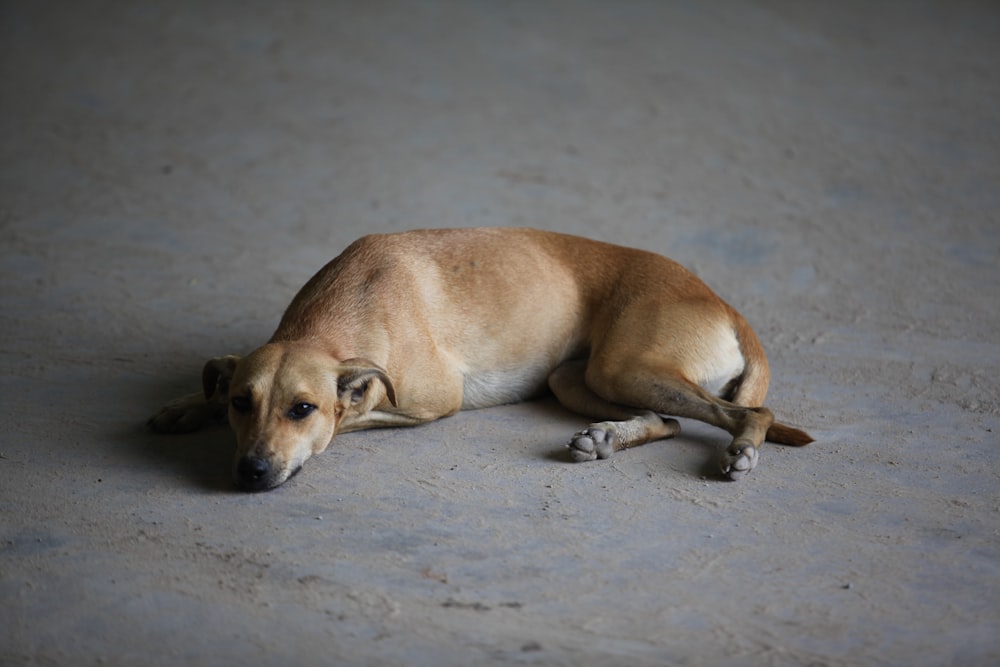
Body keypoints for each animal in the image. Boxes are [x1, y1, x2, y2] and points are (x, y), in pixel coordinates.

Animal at [148, 230, 812, 490]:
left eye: (302, 409)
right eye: (243, 403)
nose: (251, 472)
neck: (334, 318)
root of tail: (725, 304)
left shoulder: (429, 401)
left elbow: (353, 413)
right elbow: (213, 381)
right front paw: (190, 403)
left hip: (623, 368)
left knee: (746, 414)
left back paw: (741, 449)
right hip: (577, 379)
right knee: (669, 421)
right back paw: (607, 438)